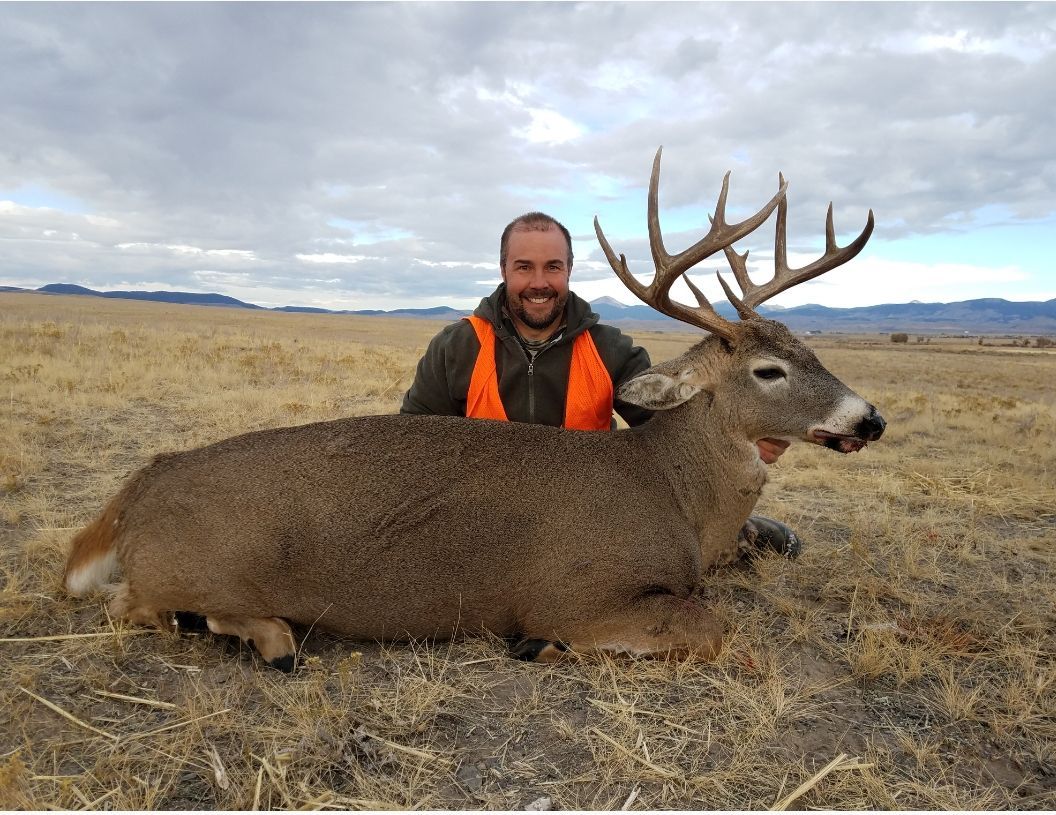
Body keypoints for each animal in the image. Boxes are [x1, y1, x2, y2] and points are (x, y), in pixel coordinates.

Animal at [63, 148, 885, 671]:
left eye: (807, 349)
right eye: (769, 369)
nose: (869, 419)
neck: (675, 494)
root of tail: (136, 488)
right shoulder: (574, 591)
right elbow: (713, 627)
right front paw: (539, 646)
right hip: (185, 572)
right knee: (131, 605)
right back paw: (269, 637)